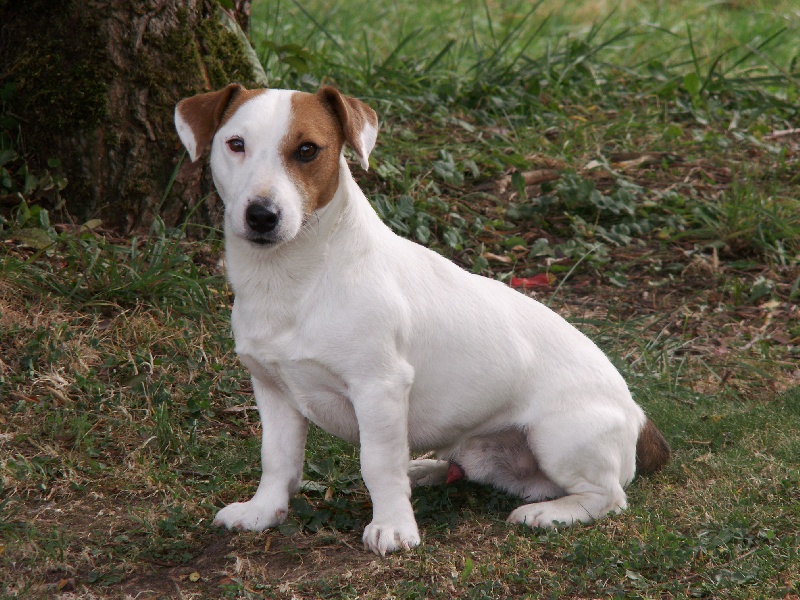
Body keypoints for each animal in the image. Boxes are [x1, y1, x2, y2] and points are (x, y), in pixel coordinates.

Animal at [175, 84, 668, 556]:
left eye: (308, 150)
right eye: (235, 144)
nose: (262, 216)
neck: (295, 281)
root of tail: (638, 415)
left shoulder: (380, 388)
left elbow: (378, 464)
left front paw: (393, 526)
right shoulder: (272, 389)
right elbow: (276, 459)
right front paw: (263, 511)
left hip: (558, 436)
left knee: (608, 497)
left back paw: (548, 514)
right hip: (488, 450)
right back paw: (427, 468)